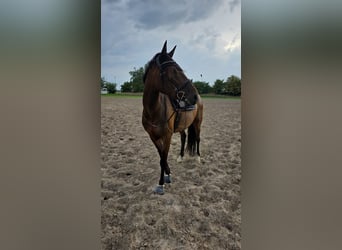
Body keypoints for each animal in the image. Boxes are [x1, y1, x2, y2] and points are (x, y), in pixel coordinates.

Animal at [142, 41, 203, 194]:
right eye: (174, 71)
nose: (193, 96)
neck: (154, 110)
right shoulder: (153, 136)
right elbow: (161, 157)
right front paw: (168, 174)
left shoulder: (167, 135)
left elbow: (163, 157)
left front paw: (161, 183)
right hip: (182, 125)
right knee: (184, 137)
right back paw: (180, 157)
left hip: (198, 123)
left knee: (198, 138)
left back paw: (198, 158)